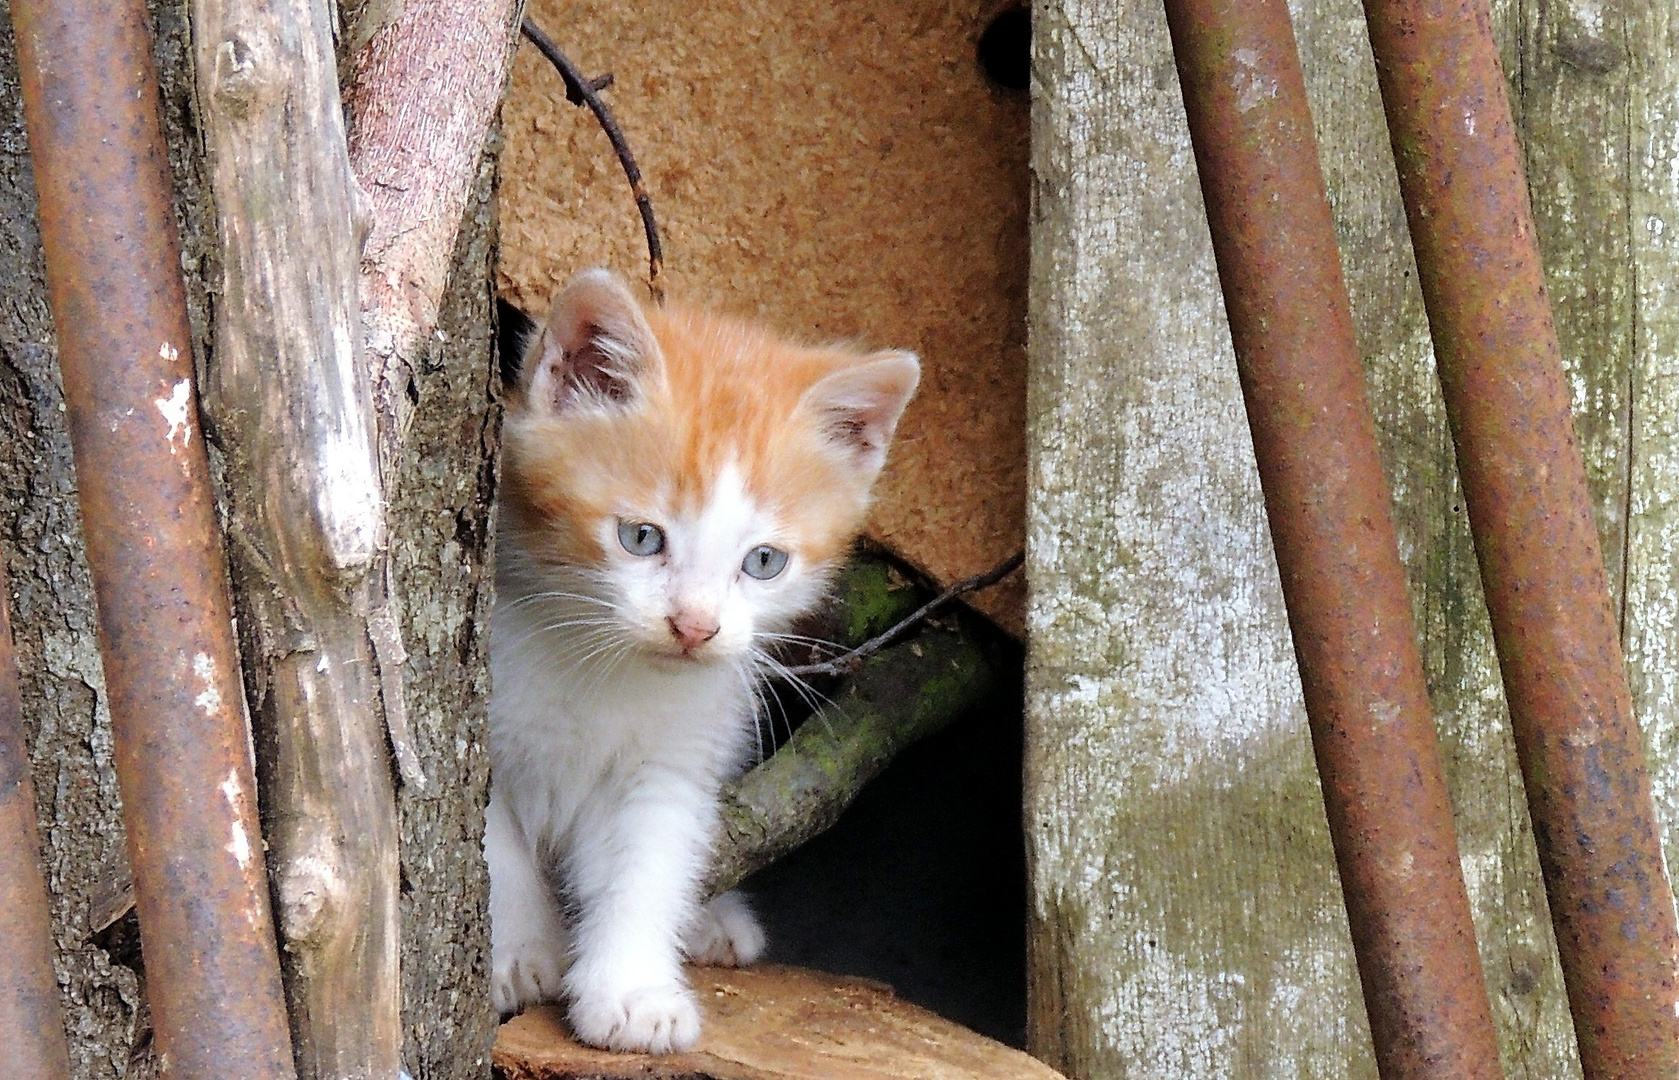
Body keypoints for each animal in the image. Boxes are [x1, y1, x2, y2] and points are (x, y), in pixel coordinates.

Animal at [486, 270, 920, 1054]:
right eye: (640, 537)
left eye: (764, 561)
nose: (694, 626)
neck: (599, 663)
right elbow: (492, 849)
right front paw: (517, 954)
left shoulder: (674, 752)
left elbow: (648, 859)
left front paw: (632, 990)